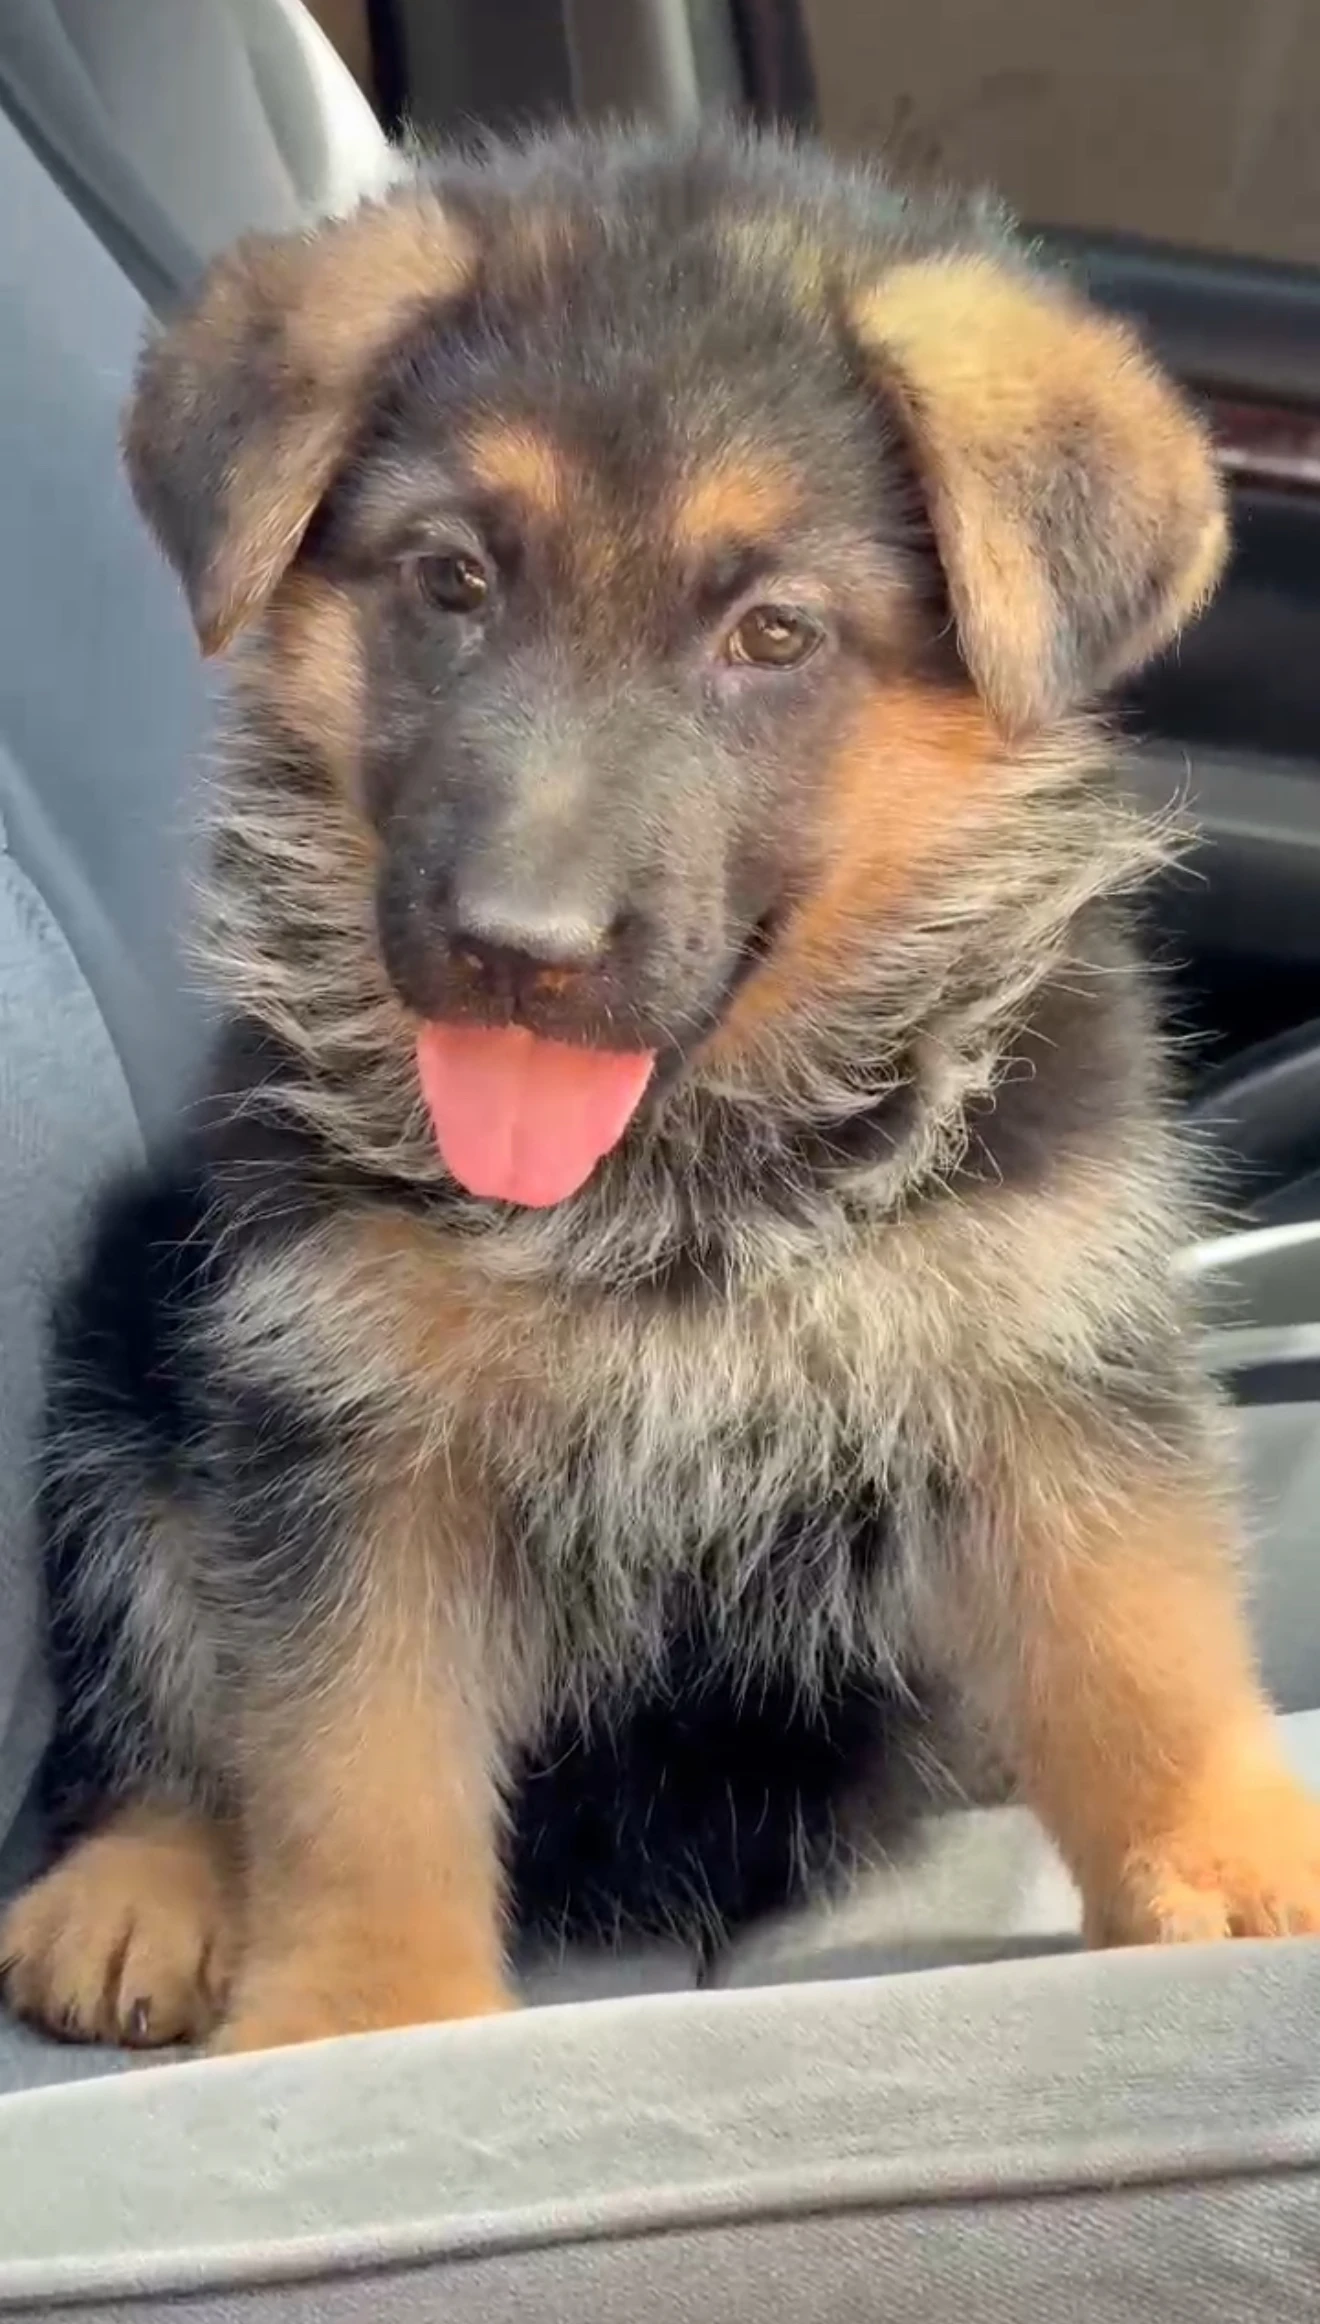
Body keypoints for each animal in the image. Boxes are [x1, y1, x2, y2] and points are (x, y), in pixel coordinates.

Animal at [4, 123, 1319, 2056]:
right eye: (451, 581)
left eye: (771, 633)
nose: (515, 947)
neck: (682, 1181)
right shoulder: (345, 1412)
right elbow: (350, 1751)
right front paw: (359, 2011)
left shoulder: (1041, 1338)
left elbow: (1132, 1631)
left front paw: (1237, 1866)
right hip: (129, 1303)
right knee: (146, 1662)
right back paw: (139, 1883)